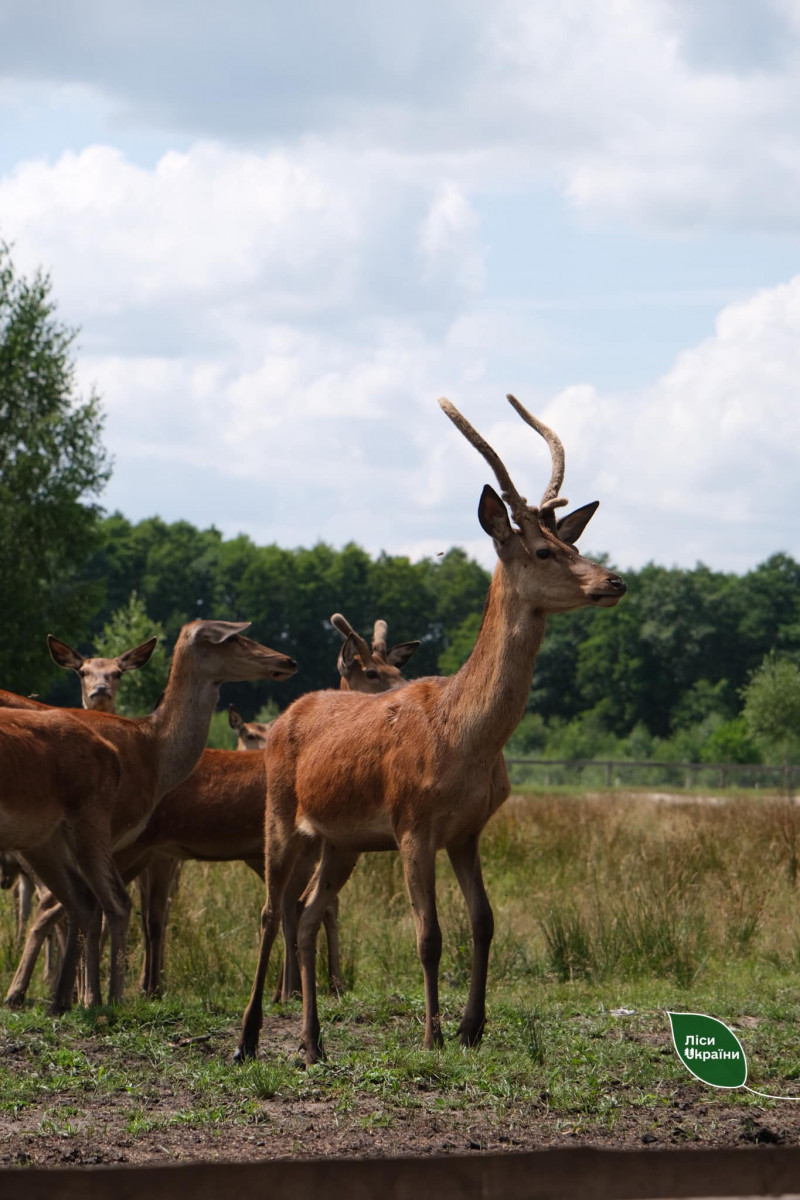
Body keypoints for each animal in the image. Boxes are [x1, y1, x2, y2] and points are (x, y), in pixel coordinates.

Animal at [236, 398, 623, 1065]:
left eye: (571, 540)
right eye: (542, 551)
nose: (614, 581)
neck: (466, 739)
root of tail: (284, 717)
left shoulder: (467, 830)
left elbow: (485, 921)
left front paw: (472, 1026)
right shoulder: (412, 823)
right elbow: (429, 934)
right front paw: (433, 1034)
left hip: (340, 840)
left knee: (308, 912)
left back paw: (313, 1043)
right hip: (281, 814)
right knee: (269, 910)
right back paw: (248, 1038)